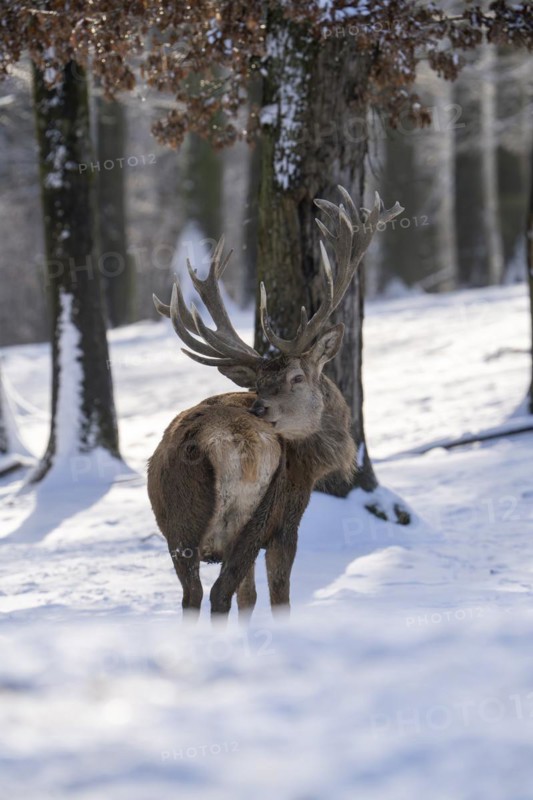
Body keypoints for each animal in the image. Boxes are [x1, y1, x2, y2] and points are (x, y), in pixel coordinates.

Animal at [147, 186, 403, 619]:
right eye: (261, 383)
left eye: (294, 378)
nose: (259, 409)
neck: (314, 463)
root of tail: (208, 444)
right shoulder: (287, 522)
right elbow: (279, 597)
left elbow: (249, 599)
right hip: (253, 516)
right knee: (219, 593)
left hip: (177, 523)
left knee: (192, 596)